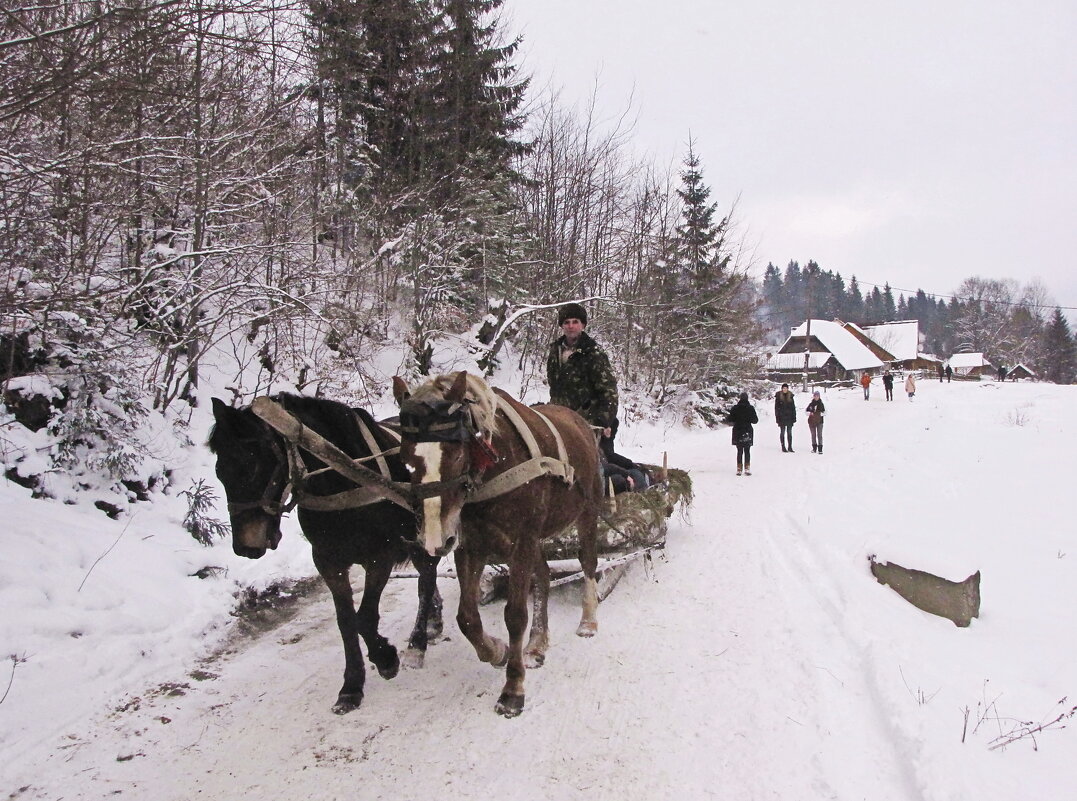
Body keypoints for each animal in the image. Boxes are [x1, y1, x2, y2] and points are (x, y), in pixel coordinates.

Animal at [207, 394, 443, 714]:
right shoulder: (328, 561)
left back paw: (418, 642)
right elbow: (346, 622)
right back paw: (432, 621)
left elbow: (364, 617)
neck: (344, 480)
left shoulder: (379, 556)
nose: (246, 546)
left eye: (254, 464)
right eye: (220, 472)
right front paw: (352, 686)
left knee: (426, 579)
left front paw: (386, 659)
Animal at [392, 368, 603, 714]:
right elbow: (466, 617)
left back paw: (588, 621)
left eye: (457, 453)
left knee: (588, 563)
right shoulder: (470, 546)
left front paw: (513, 688)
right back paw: (536, 644)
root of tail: (580, 421)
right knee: (543, 576)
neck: (494, 468)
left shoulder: (521, 542)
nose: (435, 539)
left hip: (586, 515)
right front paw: (496, 651)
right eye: (406, 459)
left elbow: (515, 615)